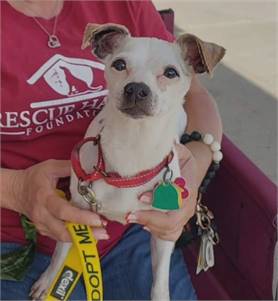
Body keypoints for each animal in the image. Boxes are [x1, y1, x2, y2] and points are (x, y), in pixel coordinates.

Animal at [31, 24, 226, 300]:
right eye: (119, 64)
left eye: (171, 72)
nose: (136, 88)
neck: (132, 147)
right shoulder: (78, 211)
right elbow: (62, 248)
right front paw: (48, 281)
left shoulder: (164, 232)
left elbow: (160, 281)